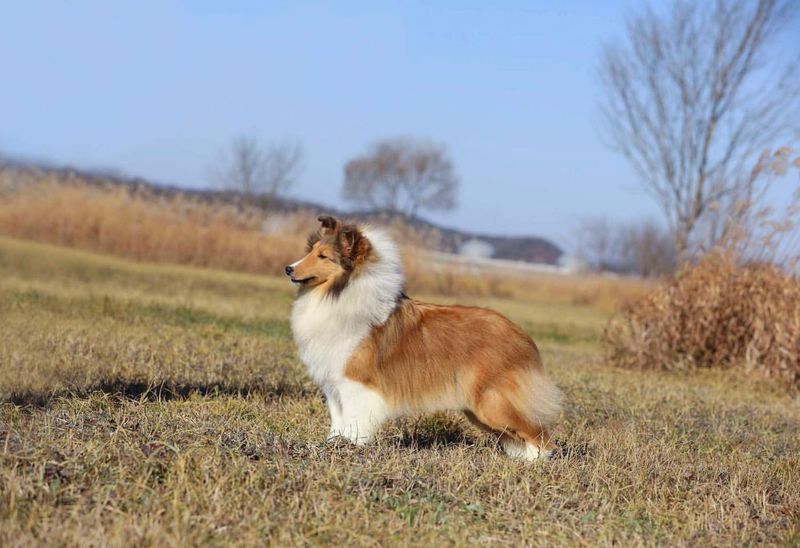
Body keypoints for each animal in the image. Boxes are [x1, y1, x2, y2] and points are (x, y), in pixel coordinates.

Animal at [288, 214, 564, 458]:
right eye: (312, 250)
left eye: (323, 256)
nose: (288, 268)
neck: (338, 294)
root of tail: (522, 336)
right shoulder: (333, 385)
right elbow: (338, 421)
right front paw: (333, 445)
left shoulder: (356, 384)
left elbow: (354, 422)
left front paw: (351, 448)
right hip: (479, 408)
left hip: (493, 402)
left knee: (541, 436)